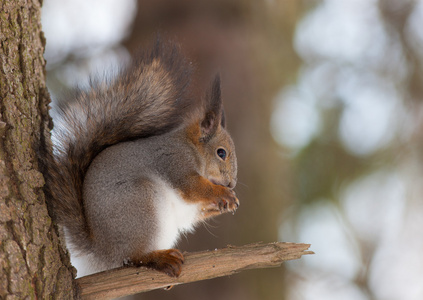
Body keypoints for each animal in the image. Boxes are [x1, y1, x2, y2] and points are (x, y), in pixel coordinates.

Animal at [45, 39, 242, 276]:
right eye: (221, 153)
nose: (231, 183)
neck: (191, 148)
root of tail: (103, 252)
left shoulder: (190, 206)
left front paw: (226, 202)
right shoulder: (174, 161)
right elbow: (191, 187)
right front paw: (224, 194)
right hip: (142, 205)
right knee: (133, 257)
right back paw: (158, 258)